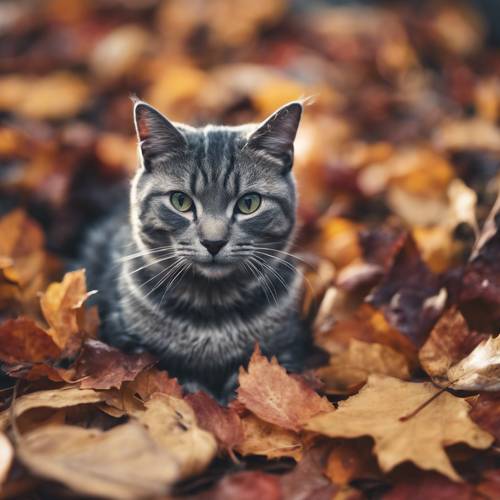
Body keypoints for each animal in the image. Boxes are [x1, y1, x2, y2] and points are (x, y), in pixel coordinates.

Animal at [82, 98, 306, 402]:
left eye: (249, 203)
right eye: (181, 201)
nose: (213, 242)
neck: (212, 310)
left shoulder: (285, 351)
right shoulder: (131, 347)